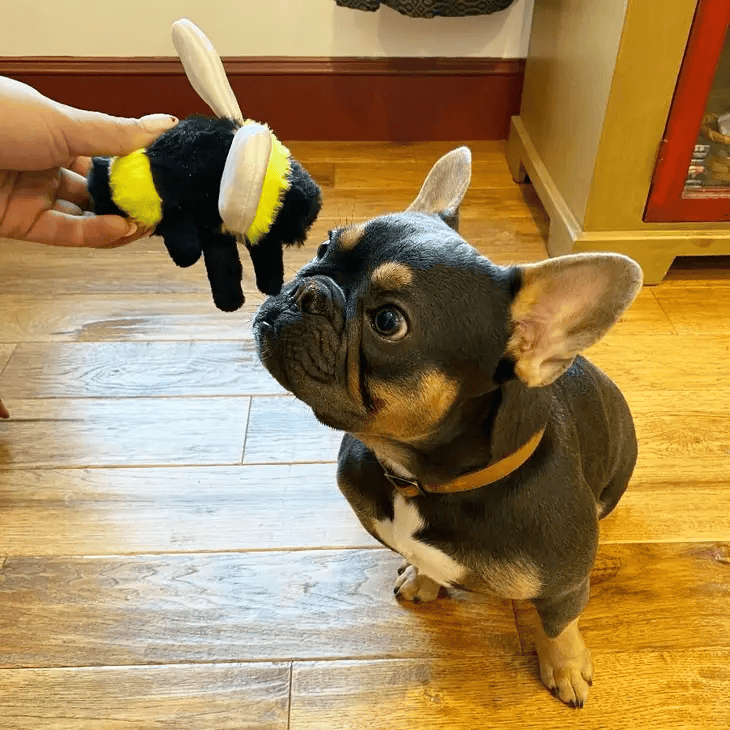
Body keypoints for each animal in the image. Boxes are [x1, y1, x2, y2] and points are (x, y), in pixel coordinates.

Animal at [253, 147, 642, 707]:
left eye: (388, 322)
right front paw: (424, 578)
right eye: (325, 245)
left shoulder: (564, 585)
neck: (419, 479)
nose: (308, 288)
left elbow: (557, 624)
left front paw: (565, 665)